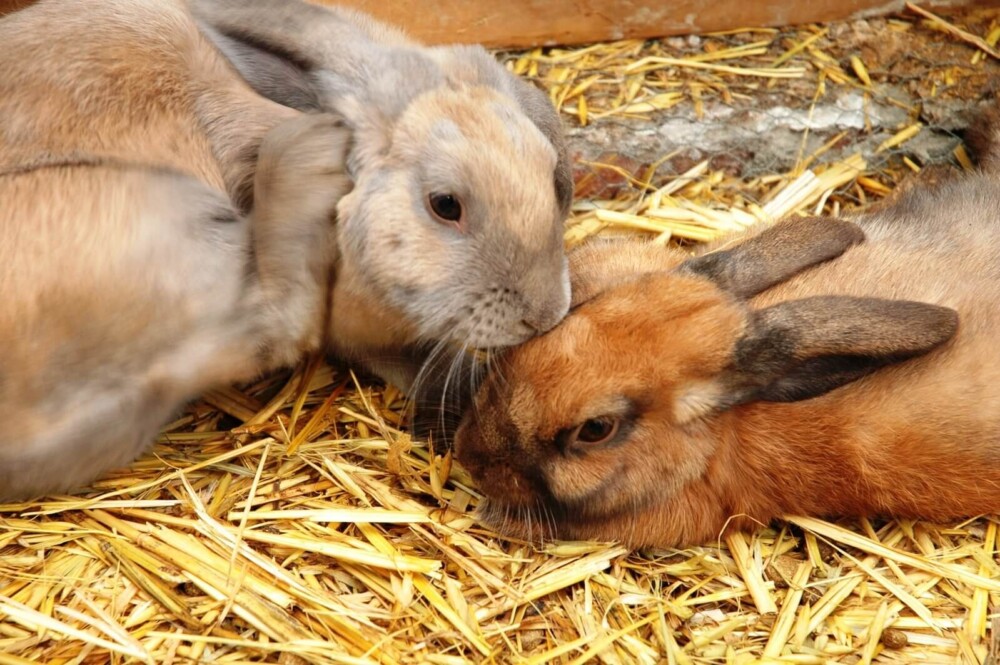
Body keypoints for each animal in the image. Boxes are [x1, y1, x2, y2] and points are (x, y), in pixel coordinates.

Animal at [0, 0, 570, 499]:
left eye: (549, 173)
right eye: (445, 204)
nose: (546, 313)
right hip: (156, 215)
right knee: (264, 324)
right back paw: (302, 155)